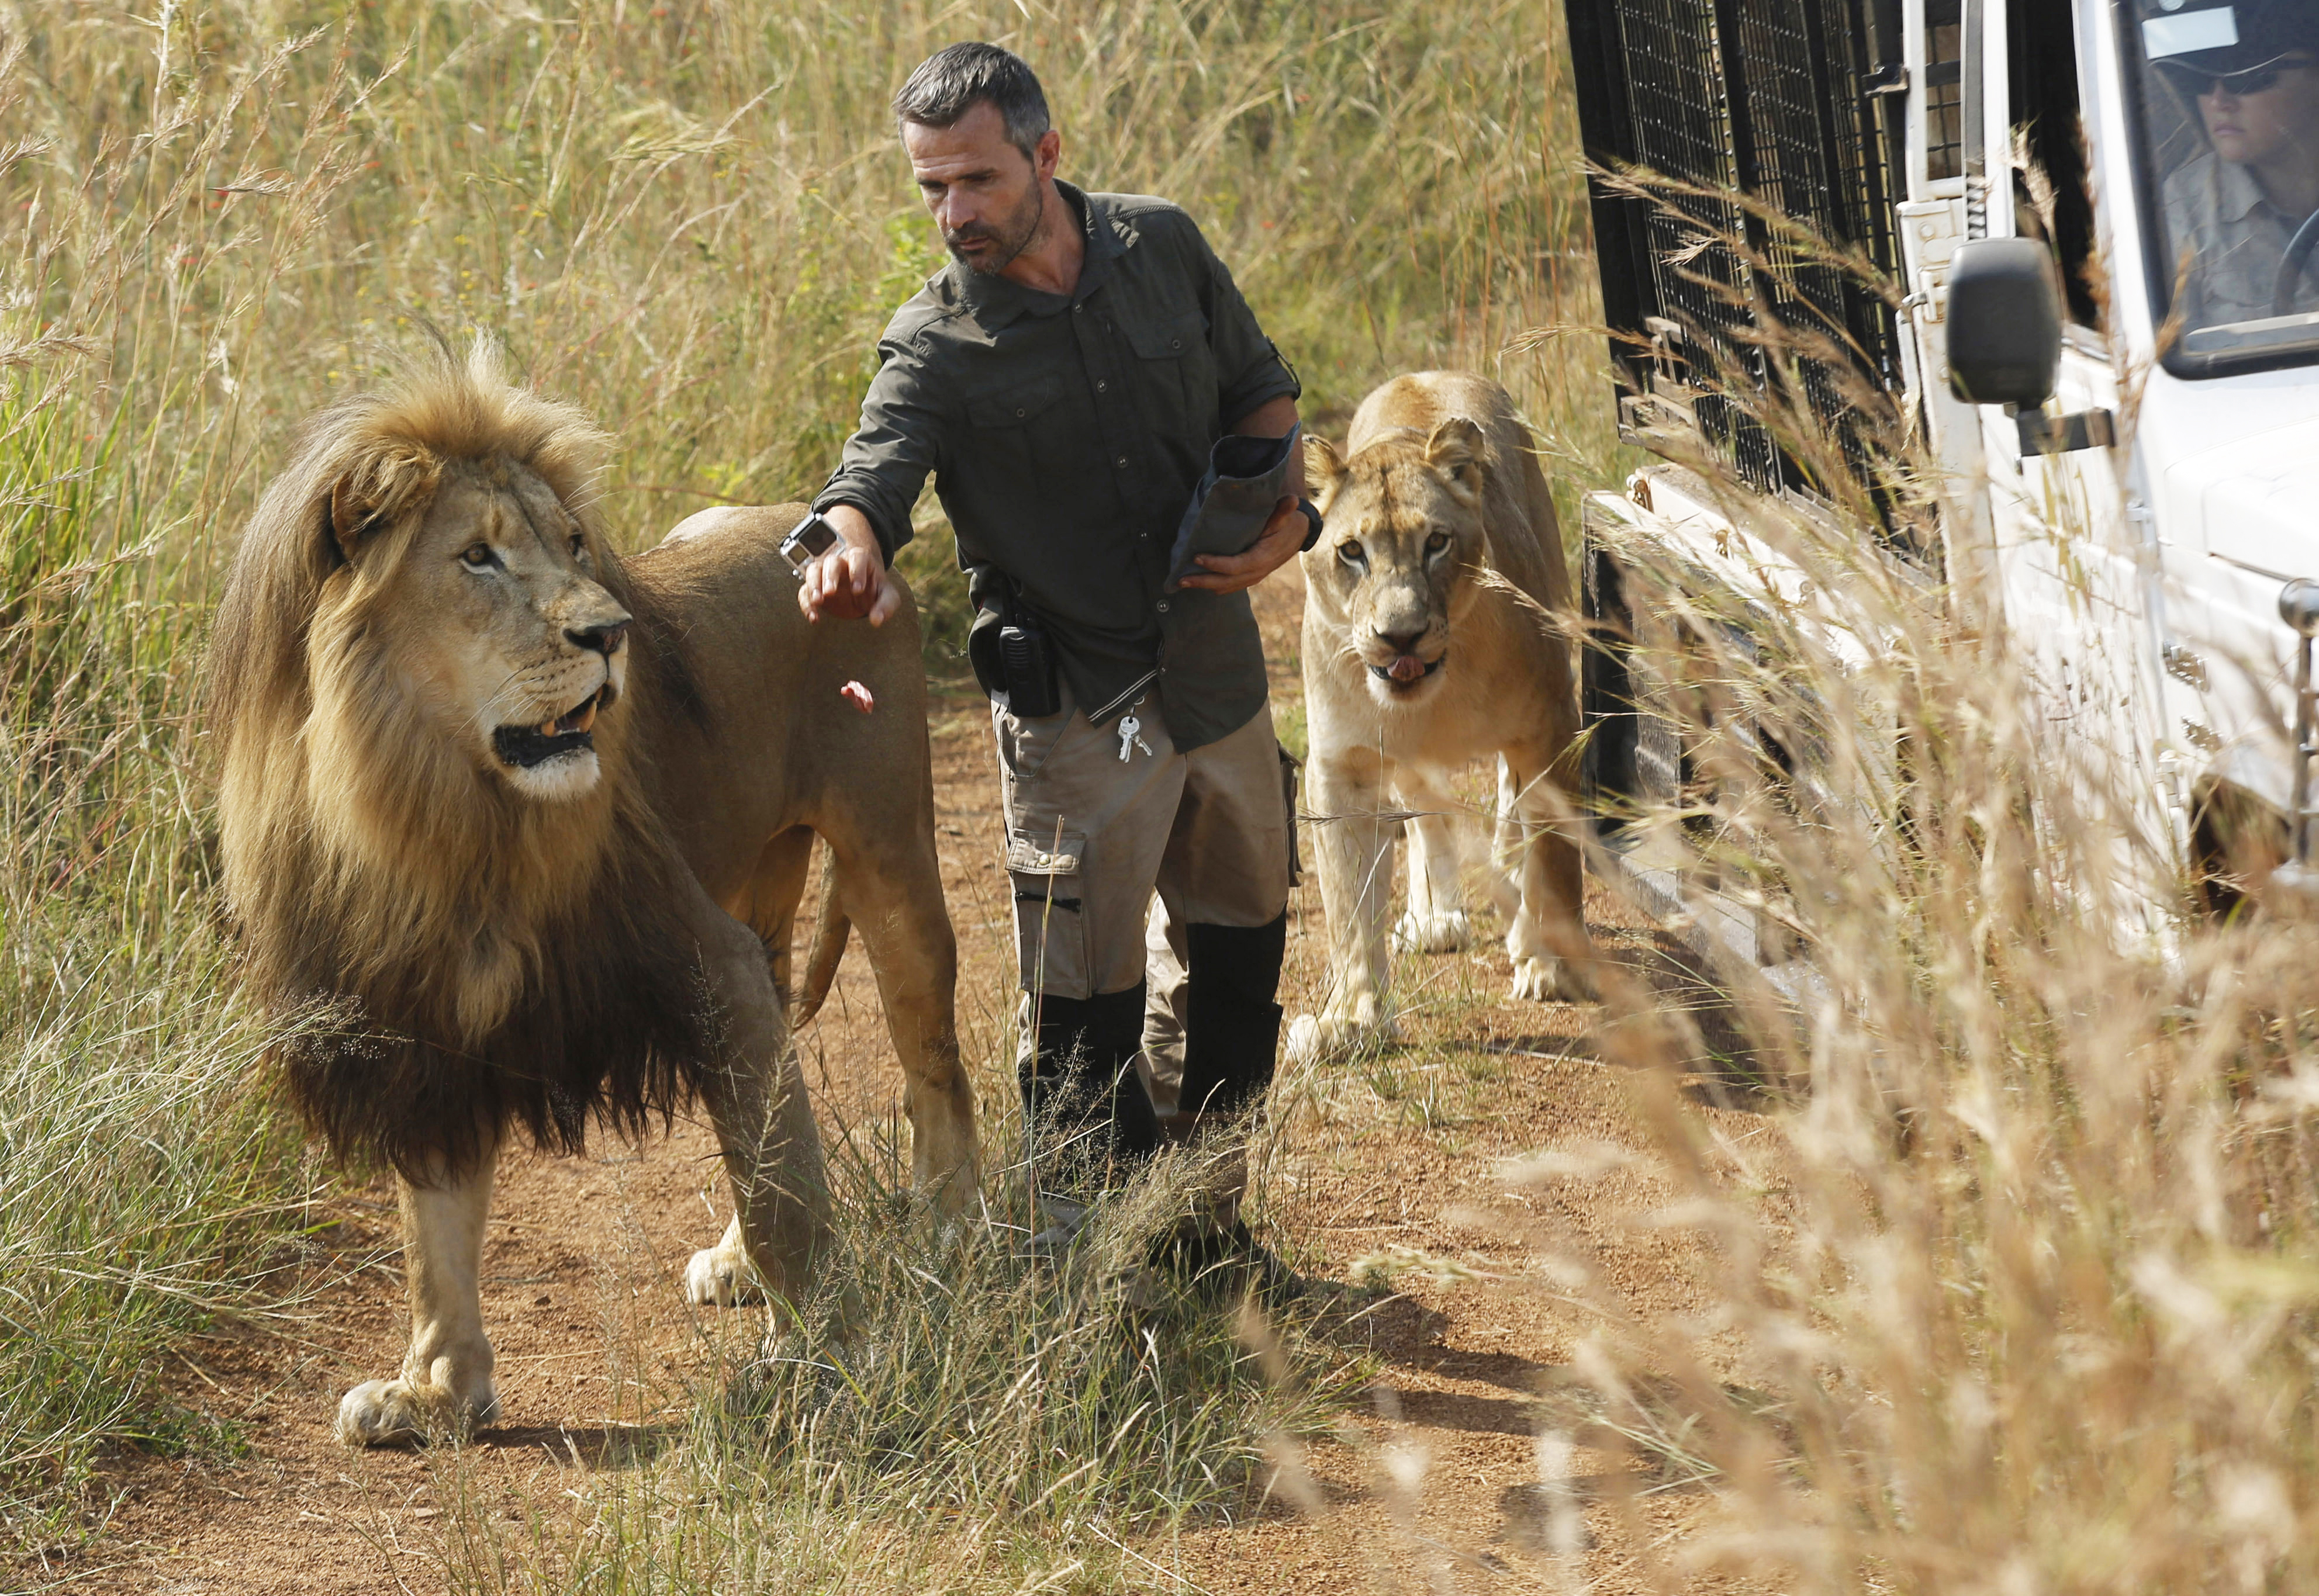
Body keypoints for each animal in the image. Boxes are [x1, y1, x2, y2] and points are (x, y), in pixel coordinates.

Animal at [209, 348, 979, 1447]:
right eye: (478, 558)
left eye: (574, 545)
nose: (612, 633)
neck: (447, 812)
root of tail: (826, 538)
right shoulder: (424, 1014)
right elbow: (434, 1225)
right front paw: (435, 1390)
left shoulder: (698, 953)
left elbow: (786, 1184)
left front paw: (829, 1358)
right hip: (761, 895)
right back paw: (739, 1262)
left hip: (888, 853)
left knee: (929, 1067)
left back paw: (954, 1227)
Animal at [1289, 369, 1595, 1053]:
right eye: (1351, 552)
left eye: (1435, 542)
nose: (1399, 635)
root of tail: (1425, 374)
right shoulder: (1341, 767)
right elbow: (1348, 902)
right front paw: (1353, 1018)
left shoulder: (1551, 722)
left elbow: (1555, 854)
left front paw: (1552, 965)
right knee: (1426, 815)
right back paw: (1434, 915)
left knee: (1513, 804)